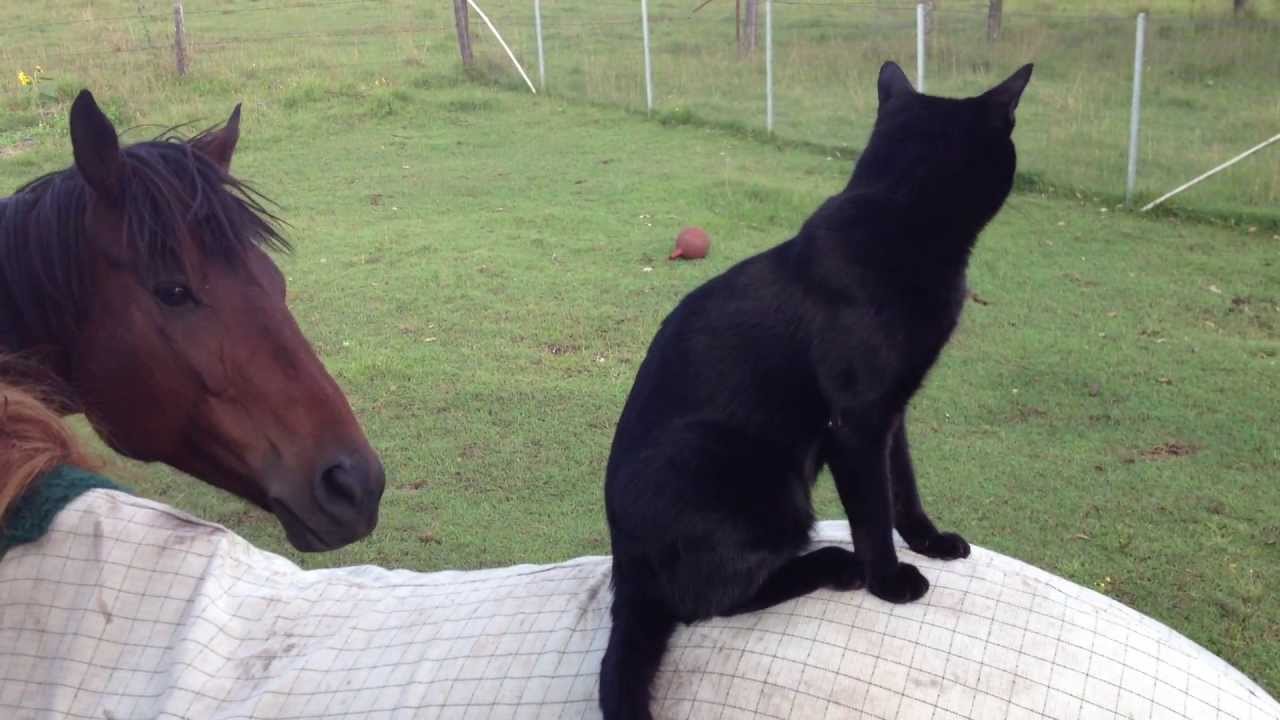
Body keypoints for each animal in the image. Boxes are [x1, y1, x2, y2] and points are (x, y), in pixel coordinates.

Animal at [596, 58, 1029, 712]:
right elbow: (873, 509)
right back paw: (835, 565)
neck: (897, 218)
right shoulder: (856, 422)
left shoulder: (893, 414)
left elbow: (903, 488)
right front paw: (889, 579)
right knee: (711, 601)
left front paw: (928, 541)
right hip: (758, 473)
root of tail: (629, 566)